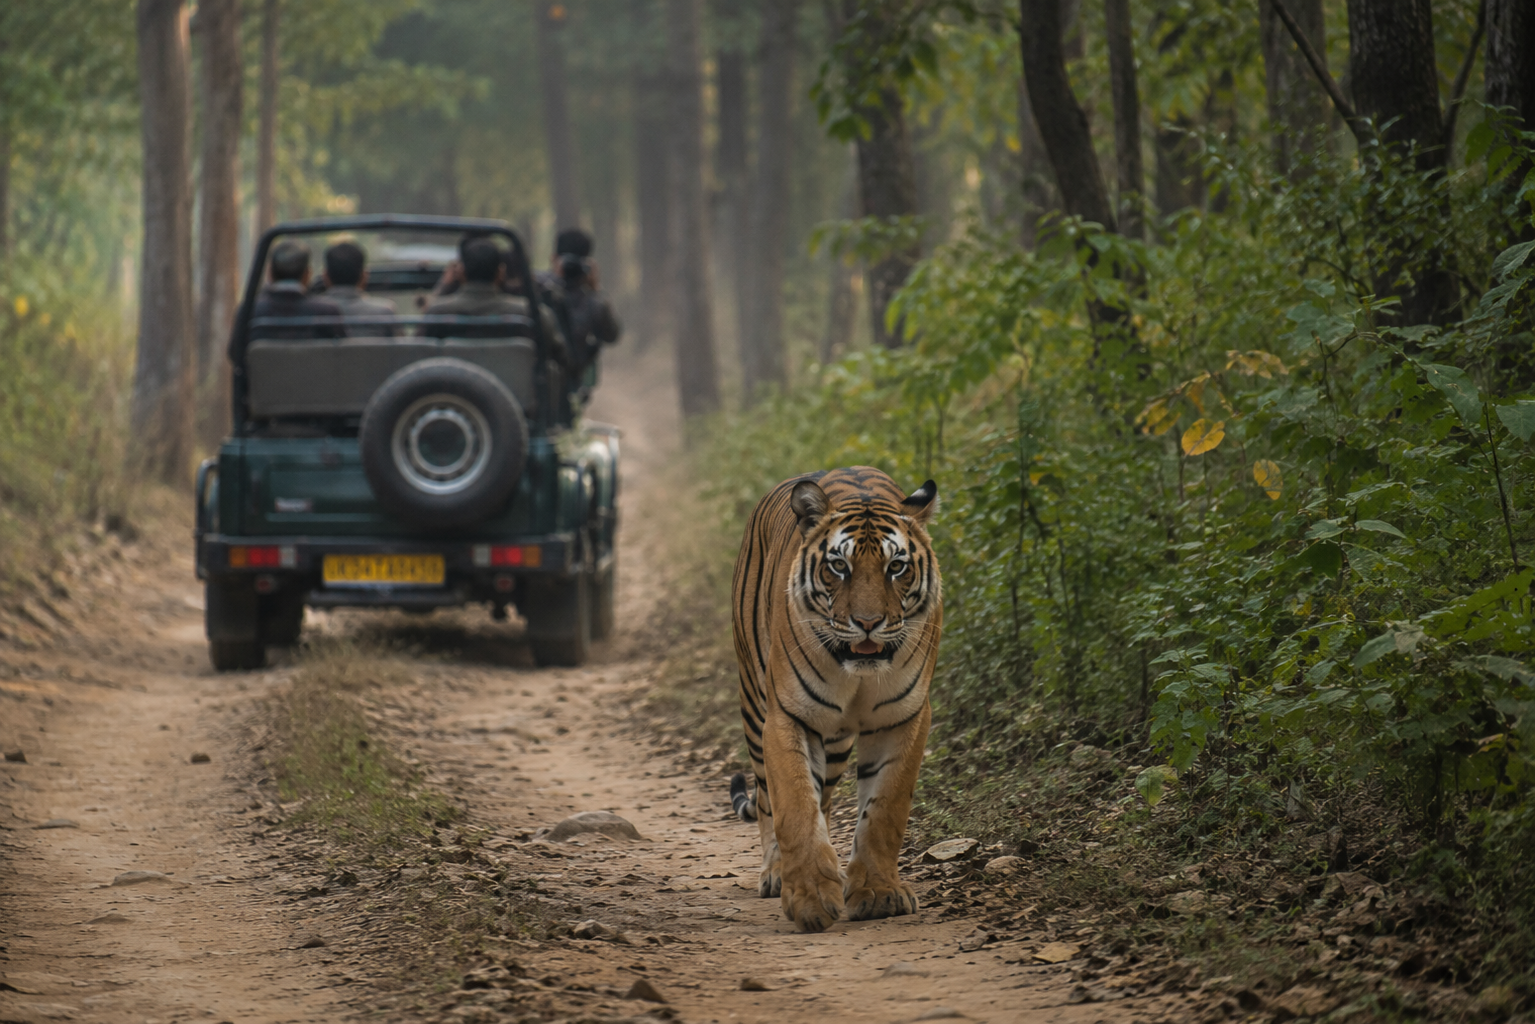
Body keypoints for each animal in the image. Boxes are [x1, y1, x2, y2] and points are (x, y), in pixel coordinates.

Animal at [727, 466, 942, 933]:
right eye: (839, 566)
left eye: (896, 567)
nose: (868, 623)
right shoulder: (788, 716)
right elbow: (794, 805)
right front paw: (809, 898)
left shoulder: (905, 718)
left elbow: (885, 810)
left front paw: (879, 893)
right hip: (754, 704)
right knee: (768, 797)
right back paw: (775, 872)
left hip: (838, 742)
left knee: (824, 796)